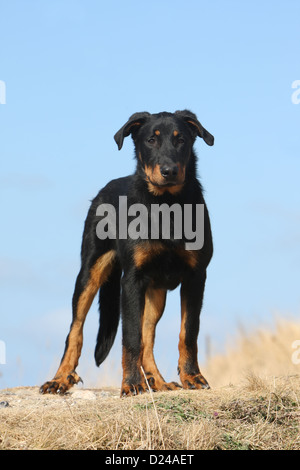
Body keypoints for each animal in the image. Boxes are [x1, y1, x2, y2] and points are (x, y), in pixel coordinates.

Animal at [39, 110, 214, 396]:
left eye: (181, 140)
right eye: (151, 140)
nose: (169, 171)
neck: (167, 205)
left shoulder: (195, 276)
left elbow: (187, 332)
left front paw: (192, 376)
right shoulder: (132, 279)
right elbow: (131, 336)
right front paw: (131, 384)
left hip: (156, 292)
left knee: (148, 336)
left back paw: (158, 381)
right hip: (90, 272)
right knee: (75, 330)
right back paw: (60, 379)